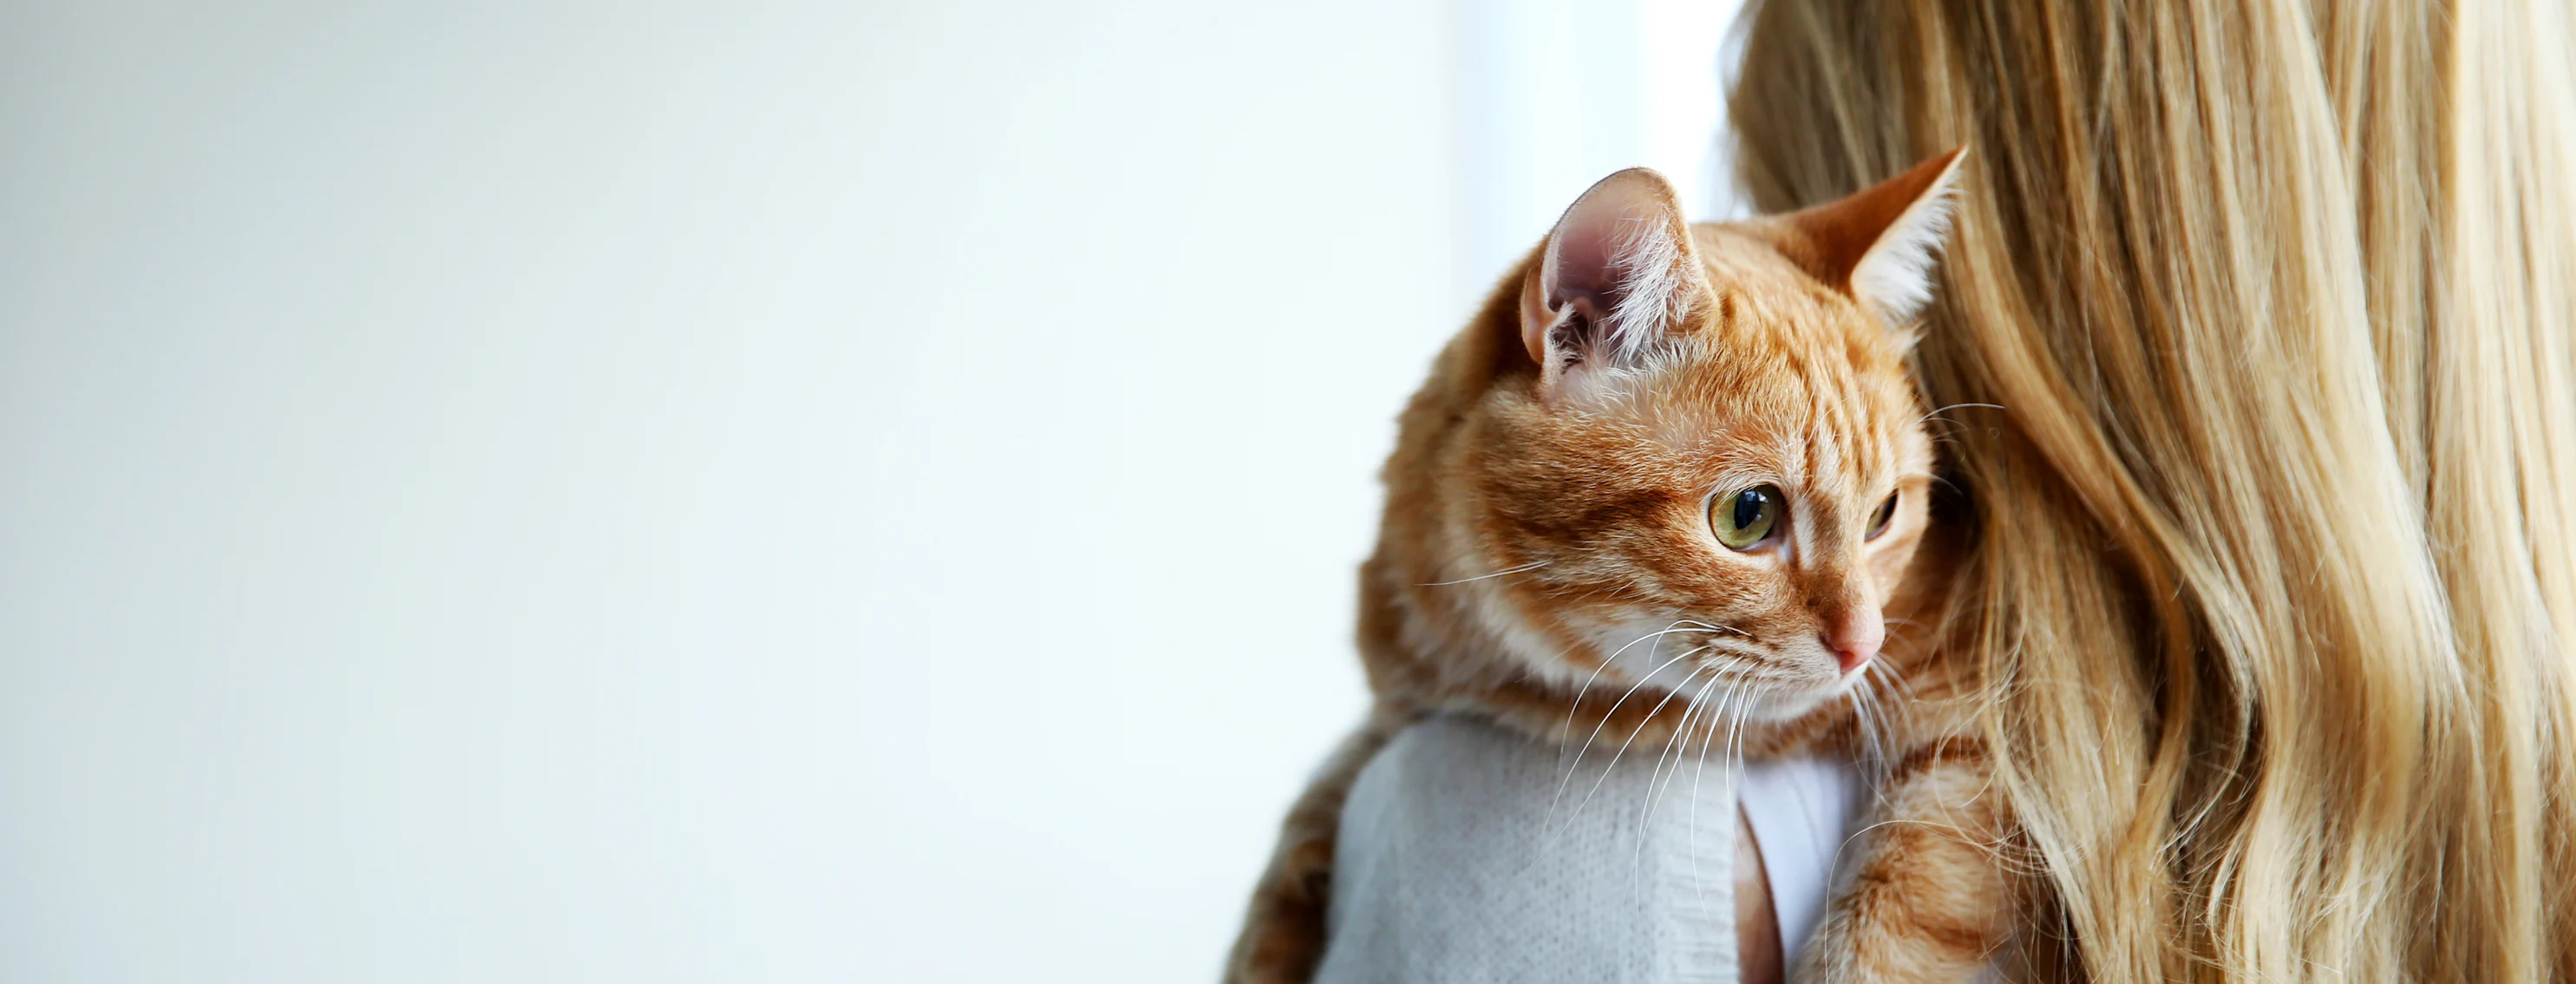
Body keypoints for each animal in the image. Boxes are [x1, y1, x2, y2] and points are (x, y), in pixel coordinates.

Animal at [1220, 148, 2009, 984]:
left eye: (1884, 514)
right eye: (1749, 515)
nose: (1864, 648)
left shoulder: (1980, 726)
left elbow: (1893, 932)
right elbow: (1309, 813)